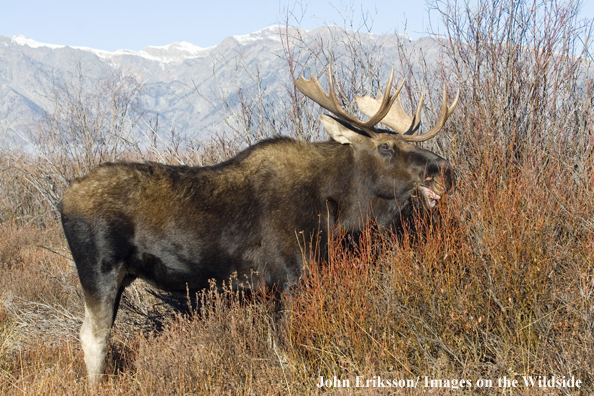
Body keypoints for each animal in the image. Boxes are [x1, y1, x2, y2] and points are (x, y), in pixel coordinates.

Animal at [60, 65, 458, 384]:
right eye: (386, 147)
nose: (445, 170)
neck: (341, 210)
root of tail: (64, 197)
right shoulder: (290, 278)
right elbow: (284, 350)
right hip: (100, 271)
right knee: (93, 338)